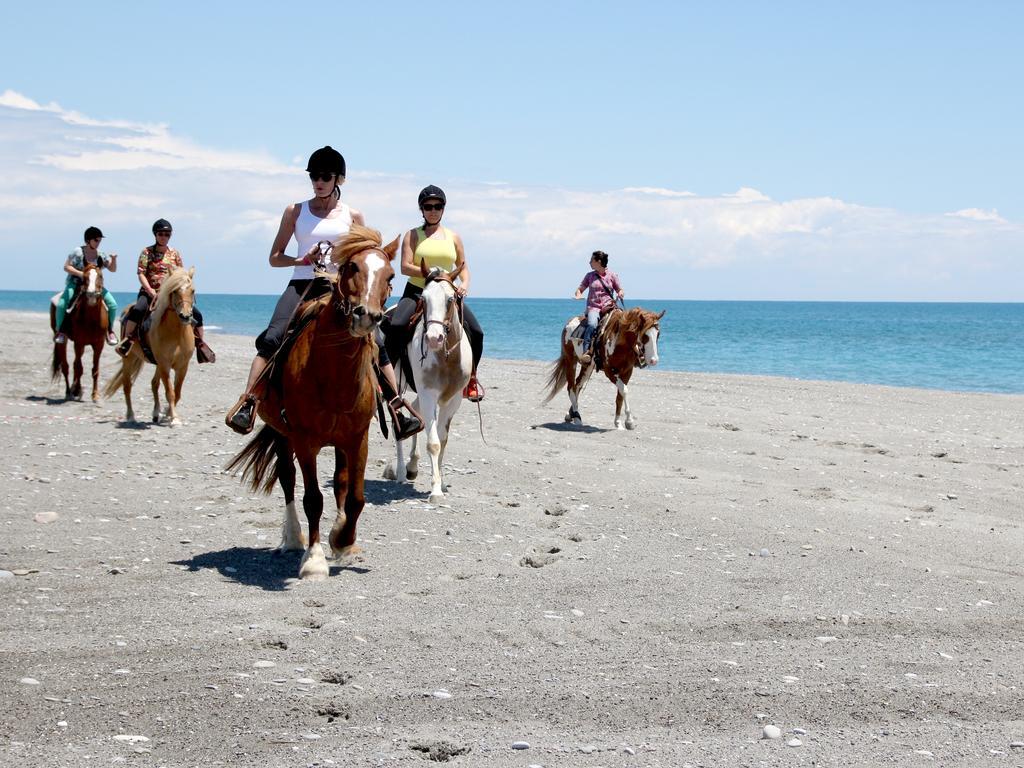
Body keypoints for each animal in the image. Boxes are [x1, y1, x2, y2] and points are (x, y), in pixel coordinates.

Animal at [49, 264, 110, 403]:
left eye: (100, 275)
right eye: (84, 277)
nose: (91, 295)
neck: (92, 319)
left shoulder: (99, 344)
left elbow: (95, 369)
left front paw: (95, 395)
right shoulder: (79, 343)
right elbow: (79, 368)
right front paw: (76, 390)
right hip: (63, 340)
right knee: (66, 366)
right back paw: (69, 392)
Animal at [103, 268, 197, 428]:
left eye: (192, 290)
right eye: (175, 291)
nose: (185, 316)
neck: (176, 333)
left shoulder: (182, 366)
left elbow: (177, 392)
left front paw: (167, 415)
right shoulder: (165, 365)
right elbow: (170, 392)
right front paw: (174, 418)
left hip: (156, 363)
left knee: (154, 384)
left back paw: (155, 413)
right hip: (129, 358)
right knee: (127, 386)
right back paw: (131, 416)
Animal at [226, 225, 397, 581]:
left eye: (390, 276)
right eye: (352, 267)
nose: (367, 316)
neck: (332, 373)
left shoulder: (357, 439)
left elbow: (356, 497)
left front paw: (343, 540)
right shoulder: (304, 441)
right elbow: (312, 499)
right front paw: (315, 560)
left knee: (341, 484)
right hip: (282, 434)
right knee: (288, 480)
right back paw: (293, 538)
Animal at [385, 264, 473, 505]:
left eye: (451, 299)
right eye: (423, 299)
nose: (434, 338)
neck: (446, 358)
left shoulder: (453, 400)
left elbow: (442, 440)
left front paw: (441, 483)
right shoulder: (428, 395)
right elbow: (433, 443)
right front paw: (435, 491)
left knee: (415, 415)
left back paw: (412, 466)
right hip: (397, 385)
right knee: (397, 422)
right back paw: (399, 472)